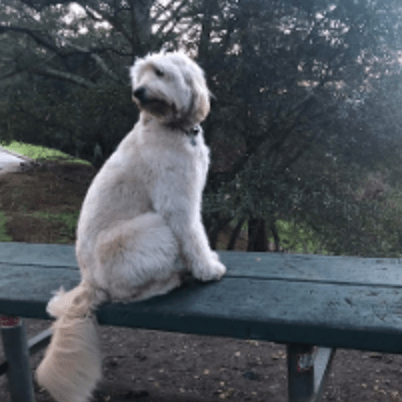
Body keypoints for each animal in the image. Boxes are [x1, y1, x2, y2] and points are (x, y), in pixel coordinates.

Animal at [35, 51, 225, 402]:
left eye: (160, 73)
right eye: (139, 77)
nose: (138, 93)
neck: (172, 127)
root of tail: (89, 281)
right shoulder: (177, 201)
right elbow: (193, 234)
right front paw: (208, 269)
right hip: (147, 231)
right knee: (124, 293)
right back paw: (169, 281)